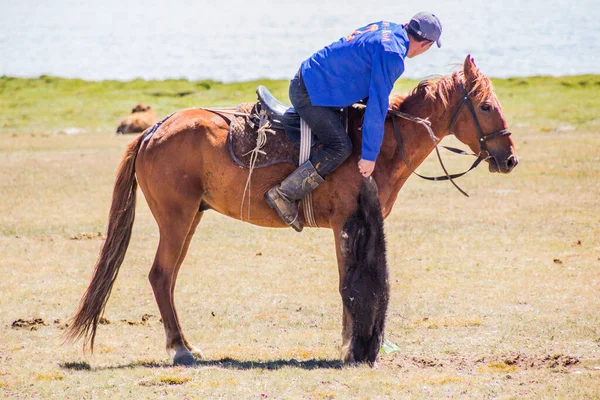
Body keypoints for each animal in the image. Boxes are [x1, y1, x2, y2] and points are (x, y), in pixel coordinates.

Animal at [64, 55, 516, 366]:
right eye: (486, 106)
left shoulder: (348, 227)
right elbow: (348, 285)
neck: (381, 142)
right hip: (176, 219)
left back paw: (186, 344)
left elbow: (347, 284)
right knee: (160, 276)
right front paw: (352, 347)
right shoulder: (347, 224)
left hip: (191, 218)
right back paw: (179, 349)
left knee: (169, 277)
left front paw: (349, 344)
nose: (510, 158)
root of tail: (153, 130)